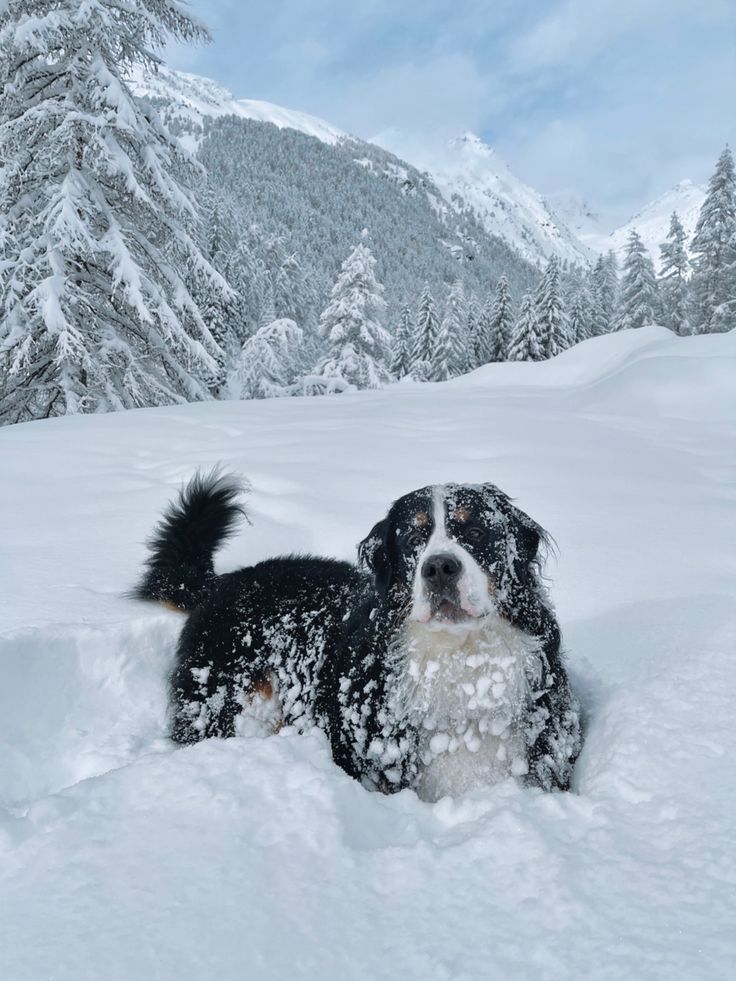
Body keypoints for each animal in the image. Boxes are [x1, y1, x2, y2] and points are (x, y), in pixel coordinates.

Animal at [134, 470, 580, 800]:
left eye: (475, 532)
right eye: (413, 538)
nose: (438, 568)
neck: (460, 663)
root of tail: (223, 582)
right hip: (225, 704)